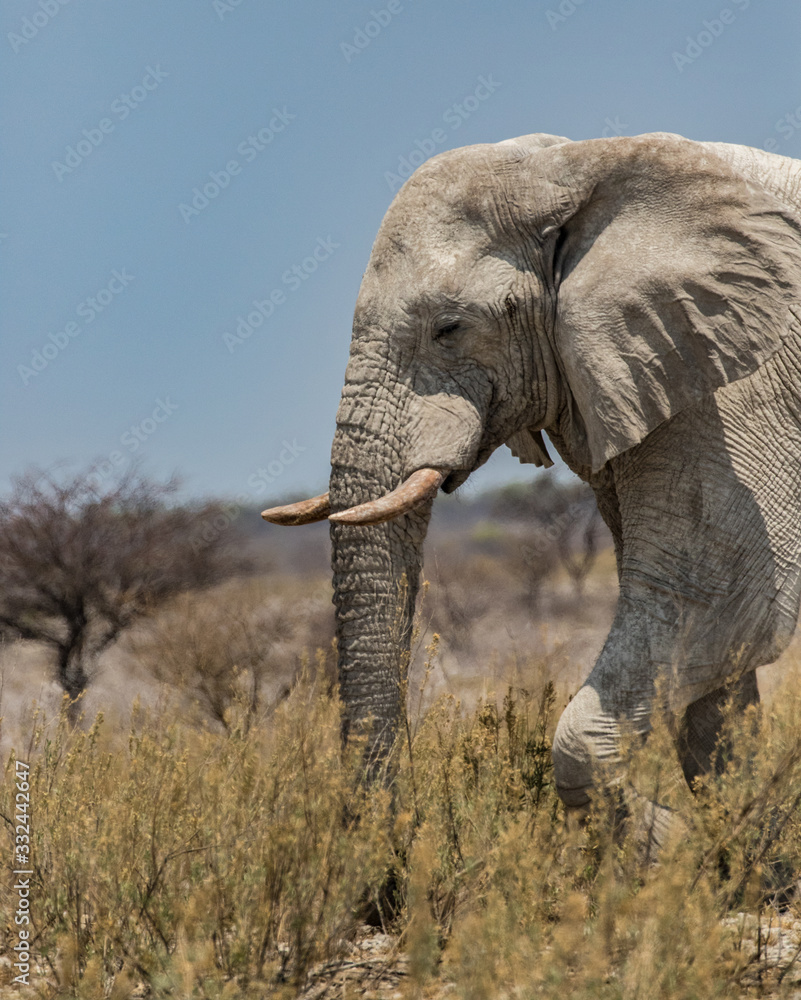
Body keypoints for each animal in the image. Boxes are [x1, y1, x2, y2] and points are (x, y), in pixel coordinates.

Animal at [263, 131, 801, 843]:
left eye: (449, 328)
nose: (395, 857)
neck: (579, 164)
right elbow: (713, 686)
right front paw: (727, 853)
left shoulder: (735, 387)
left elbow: (725, 600)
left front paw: (680, 849)